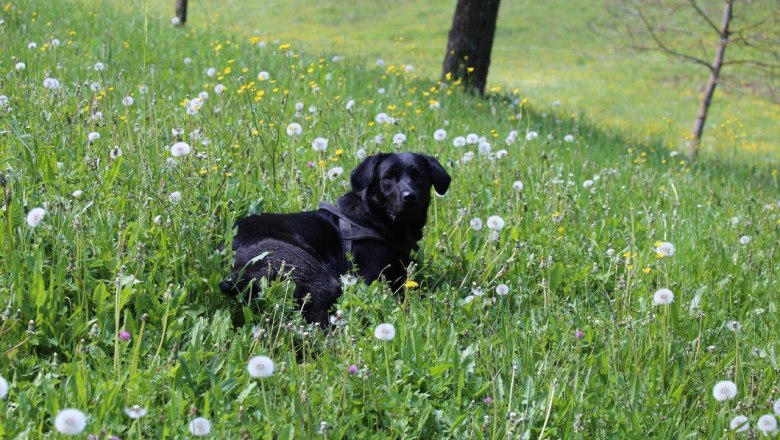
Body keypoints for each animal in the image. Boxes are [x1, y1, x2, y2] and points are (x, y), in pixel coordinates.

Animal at [219, 153, 450, 324]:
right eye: (388, 178)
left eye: (419, 175)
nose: (410, 197)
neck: (375, 217)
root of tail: (238, 275)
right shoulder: (371, 281)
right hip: (316, 276)